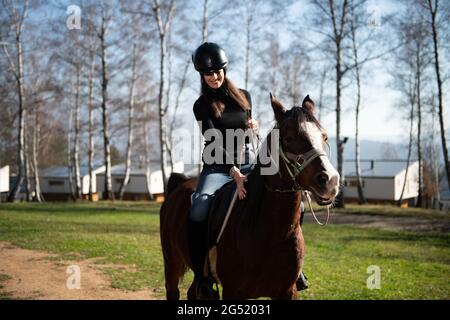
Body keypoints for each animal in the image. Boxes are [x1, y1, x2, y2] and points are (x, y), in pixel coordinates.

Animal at [160, 93, 340, 300]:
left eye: (324, 136)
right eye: (288, 139)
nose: (330, 181)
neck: (270, 234)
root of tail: (179, 184)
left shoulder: (287, 291)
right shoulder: (232, 292)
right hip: (171, 263)